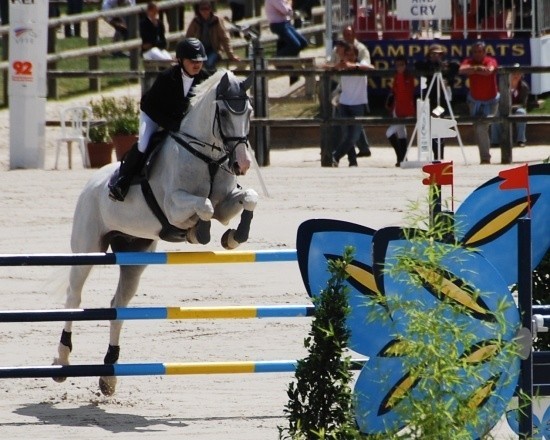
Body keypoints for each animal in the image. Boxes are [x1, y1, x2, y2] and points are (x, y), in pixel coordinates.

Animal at [52, 71, 260, 396]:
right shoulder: (175, 206)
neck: (207, 157)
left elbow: (247, 198)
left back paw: (108, 376)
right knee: (74, 298)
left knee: (117, 306)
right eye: (225, 113)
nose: (242, 163)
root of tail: (91, 183)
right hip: (87, 249)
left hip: (134, 257)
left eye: (249, 112)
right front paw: (198, 233)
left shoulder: (227, 204)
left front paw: (233, 237)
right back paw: (62, 361)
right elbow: (204, 207)